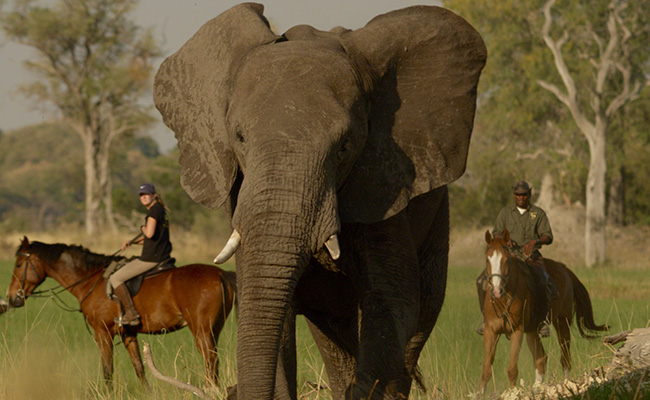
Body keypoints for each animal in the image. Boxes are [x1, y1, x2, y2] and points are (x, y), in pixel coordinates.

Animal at [7, 238, 235, 388]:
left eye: (18, 265)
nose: (11, 298)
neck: (90, 280)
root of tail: (221, 273)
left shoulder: (103, 333)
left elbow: (108, 370)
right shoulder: (128, 333)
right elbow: (139, 368)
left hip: (201, 332)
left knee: (210, 363)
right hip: (213, 330)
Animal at [153, 3, 480, 400]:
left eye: (345, 146)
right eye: (239, 137)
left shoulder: (381, 183)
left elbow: (390, 302)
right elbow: (264, 303)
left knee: (414, 327)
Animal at [478, 230, 604, 392]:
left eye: (506, 260)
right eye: (487, 259)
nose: (496, 290)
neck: (503, 299)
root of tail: (564, 269)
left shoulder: (516, 331)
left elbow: (512, 369)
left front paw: (512, 393)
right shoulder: (490, 331)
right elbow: (486, 369)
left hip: (562, 322)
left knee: (565, 358)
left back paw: (567, 385)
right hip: (532, 331)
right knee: (541, 358)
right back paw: (537, 387)